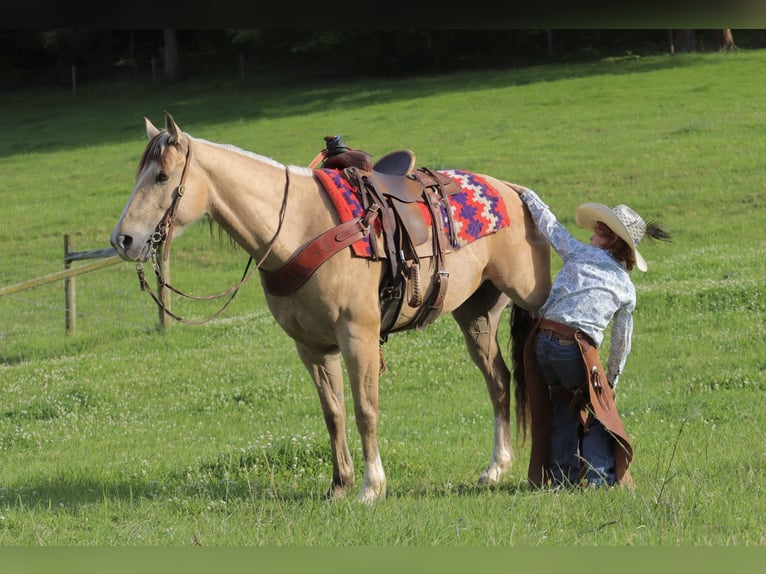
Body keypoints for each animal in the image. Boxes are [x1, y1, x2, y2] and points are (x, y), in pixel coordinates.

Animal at [109, 113, 552, 504]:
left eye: (162, 177)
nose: (123, 240)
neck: (298, 228)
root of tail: (510, 189)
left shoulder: (357, 335)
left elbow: (365, 410)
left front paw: (372, 488)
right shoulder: (312, 347)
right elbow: (333, 412)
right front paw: (339, 485)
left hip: (532, 295)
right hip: (476, 316)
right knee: (499, 380)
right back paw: (496, 468)